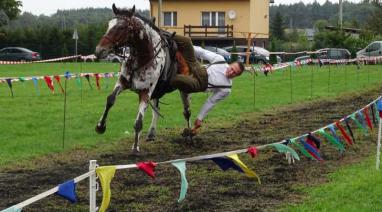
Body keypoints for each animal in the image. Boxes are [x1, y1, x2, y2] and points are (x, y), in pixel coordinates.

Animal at [94, 3, 192, 152]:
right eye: (109, 25)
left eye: (121, 27)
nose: (99, 51)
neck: (143, 58)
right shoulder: (122, 82)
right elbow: (110, 100)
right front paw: (100, 126)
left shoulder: (146, 92)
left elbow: (138, 122)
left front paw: (135, 147)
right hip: (157, 92)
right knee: (157, 110)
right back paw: (151, 133)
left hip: (183, 90)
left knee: (187, 112)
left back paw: (190, 133)